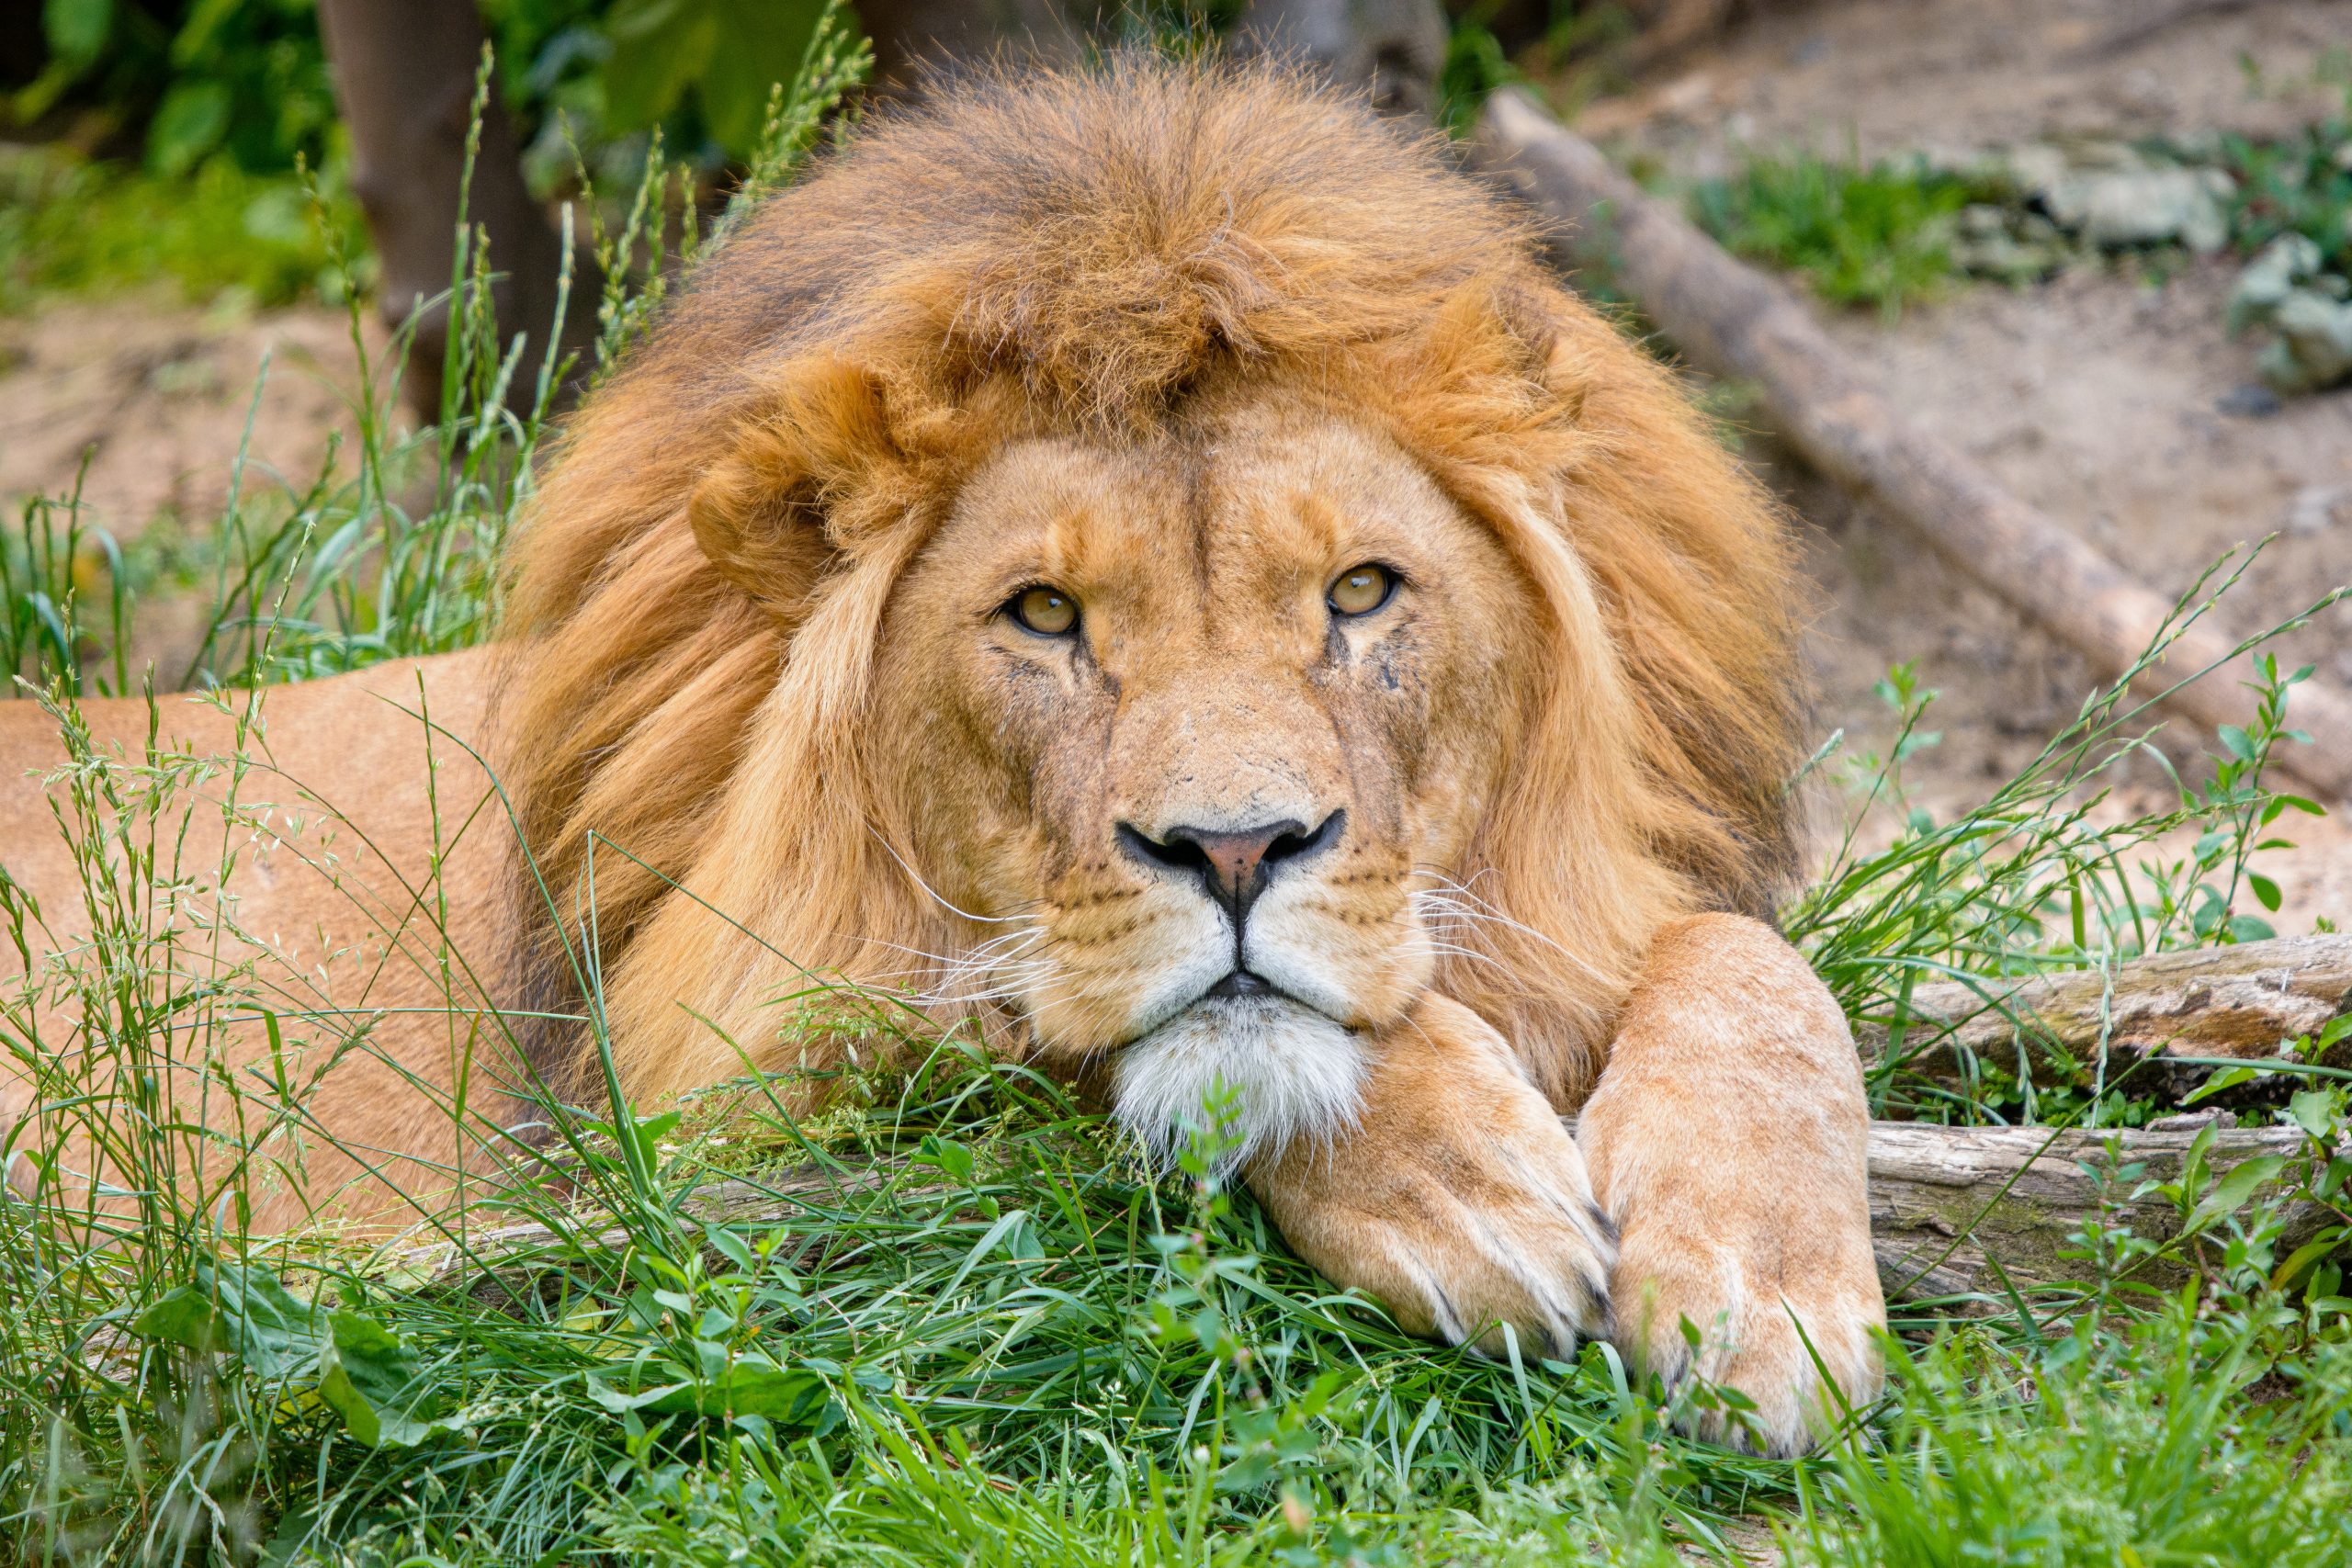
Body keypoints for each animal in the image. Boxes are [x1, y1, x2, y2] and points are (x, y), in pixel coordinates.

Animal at [0, 55, 1882, 1456]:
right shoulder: (723, 1084)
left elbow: (1759, 966)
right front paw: (1473, 1194)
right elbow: (1085, 1032)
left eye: (1360, 591)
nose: (1236, 852)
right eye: (1043, 614)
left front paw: (1764, 1296)